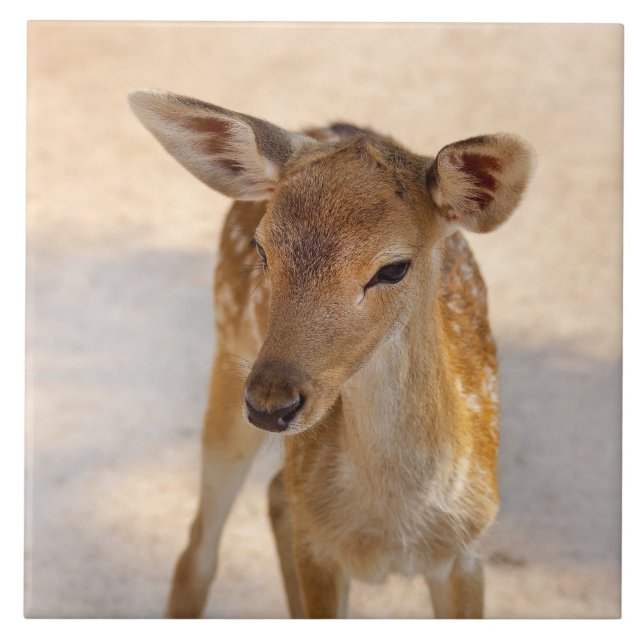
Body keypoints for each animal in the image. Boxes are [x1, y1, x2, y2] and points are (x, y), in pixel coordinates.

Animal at [128, 89, 534, 619]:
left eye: (394, 268)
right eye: (262, 250)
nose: (270, 404)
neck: (392, 529)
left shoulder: (466, 551)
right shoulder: (320, 550)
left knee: (275, 495)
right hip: (228, 354)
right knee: (199, 547)